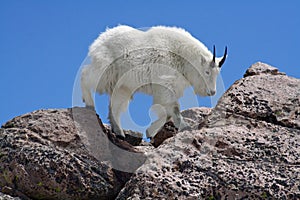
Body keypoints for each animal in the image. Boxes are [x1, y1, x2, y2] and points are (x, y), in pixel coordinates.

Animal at [81, 25, 226, 138]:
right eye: (207, 72)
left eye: (217, 73)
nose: (212, 92)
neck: (182, 57)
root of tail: (100, 38)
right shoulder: (165, 85)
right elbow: (174, 109)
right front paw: (185, 127)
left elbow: (167, 113)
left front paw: (150, 132)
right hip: (105, 70)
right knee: (86, 75)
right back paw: (89, 103)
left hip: (122, 85)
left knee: (115, 106)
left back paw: (119, 132)